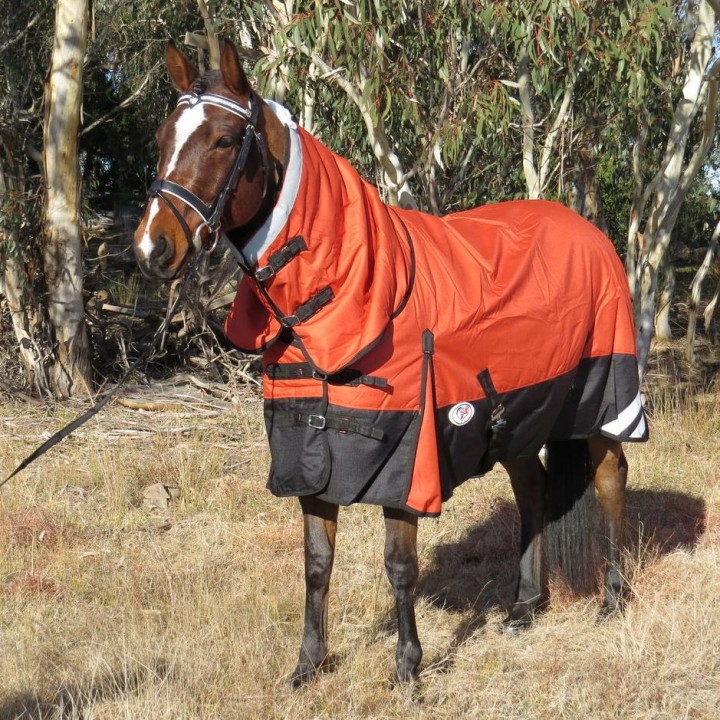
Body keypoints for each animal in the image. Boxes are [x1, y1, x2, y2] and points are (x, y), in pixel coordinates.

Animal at [134, 41, 648, 687]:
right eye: (161, 138)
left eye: (224, 140)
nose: (152, 249)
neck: (356, 294)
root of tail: (588, 230)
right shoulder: (309, 458)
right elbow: (317, 563)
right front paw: (309, 664)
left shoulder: (406, 462)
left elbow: (399, 565)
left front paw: (407, 667)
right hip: (517, 414)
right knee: (532, 488)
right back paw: (525, 606)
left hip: (603, 400)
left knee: (610, 481)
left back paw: (612, 599)